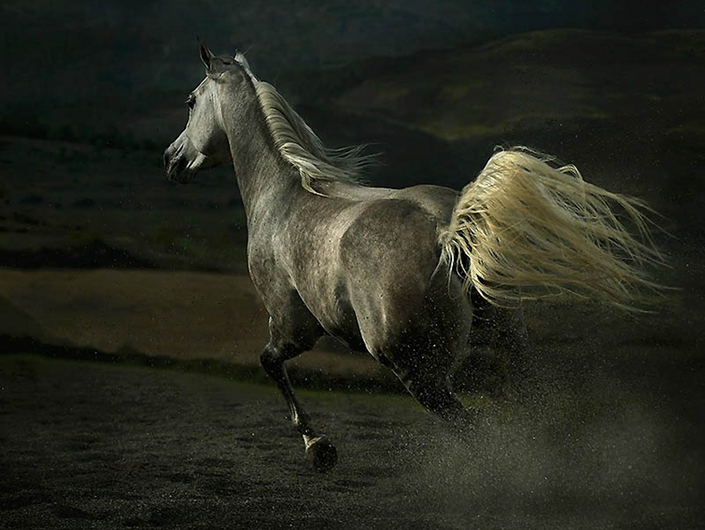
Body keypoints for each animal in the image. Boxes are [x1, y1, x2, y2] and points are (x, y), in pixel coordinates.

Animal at [164, 40, 664, 472]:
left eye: (190, 101)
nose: (171, 159)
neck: (283, 195)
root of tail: (448, 234)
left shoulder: (293, 326)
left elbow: (270, 364)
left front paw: (318, 447)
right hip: (508, 346)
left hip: (418, 371)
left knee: (476, 429)